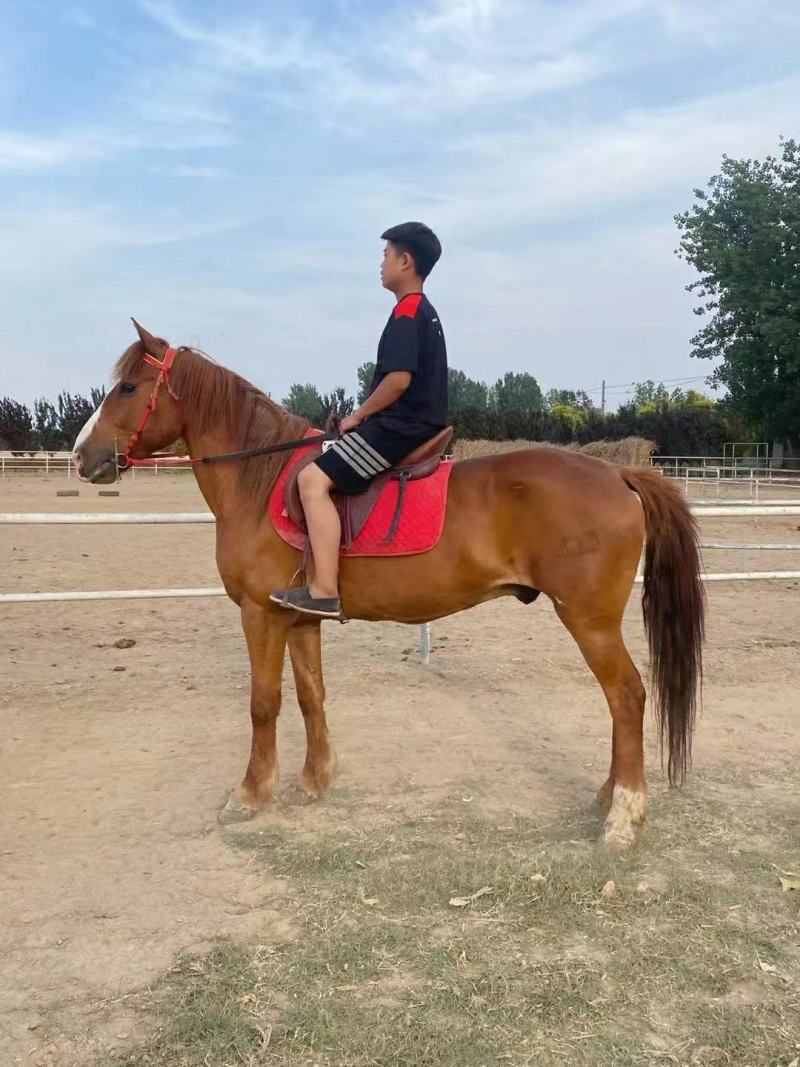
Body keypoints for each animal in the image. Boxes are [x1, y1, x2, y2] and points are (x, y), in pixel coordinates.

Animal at [72, 321, 705, 848]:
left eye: (127, 387)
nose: (82, 456)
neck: (262, 480)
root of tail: (619, 470)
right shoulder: (299, 617)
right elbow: (310, 696)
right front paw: (314, 780)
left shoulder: (260, 615)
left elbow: (263, 703)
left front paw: (249, 795)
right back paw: (606, 798)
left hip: (589, 620)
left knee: (627, 696)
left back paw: (623, 815)